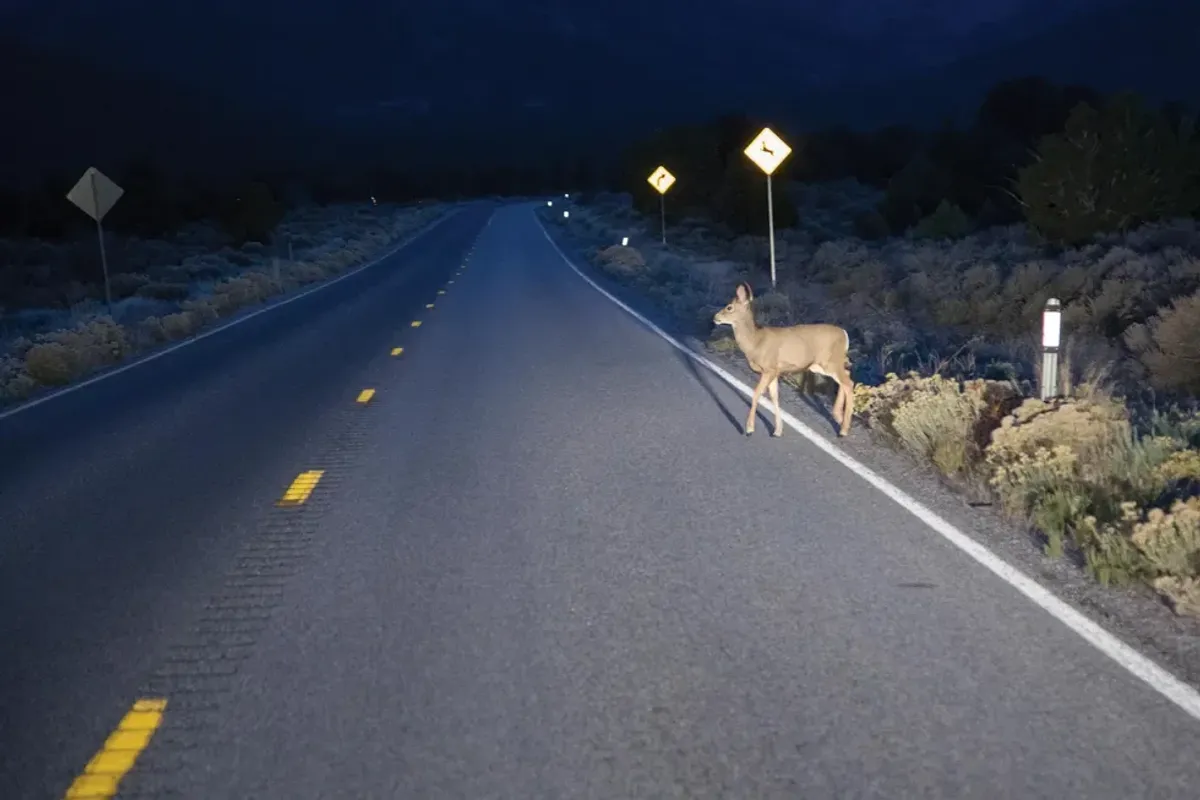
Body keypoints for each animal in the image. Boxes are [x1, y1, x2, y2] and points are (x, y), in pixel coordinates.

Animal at [710, 283, 854, 438]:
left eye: (729, 307)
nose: (715, 317)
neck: (756, 342)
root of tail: (845, 334)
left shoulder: (769, 369)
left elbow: (756, 394)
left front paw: (749, 428)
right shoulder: (776, 372)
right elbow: (774, 397)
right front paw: (777, 430)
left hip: (831, 362)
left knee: (848, 383)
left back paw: (843, 430)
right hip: (820, 365)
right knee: (847, 376)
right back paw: (838, 416)